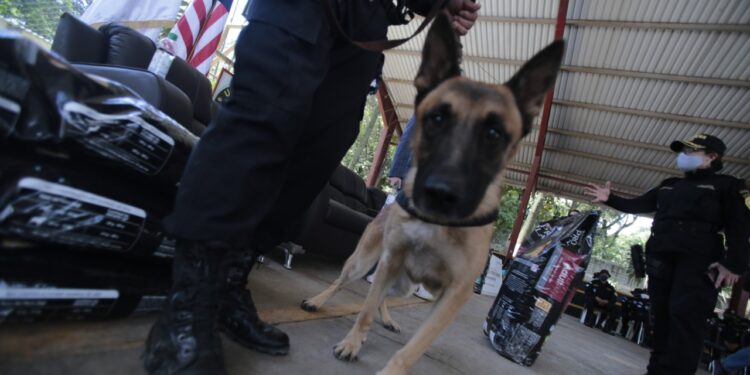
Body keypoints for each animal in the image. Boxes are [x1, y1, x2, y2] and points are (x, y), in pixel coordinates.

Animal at [300, 12, 564, 375]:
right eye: (436, 118)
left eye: (494, 134)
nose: (440, 193)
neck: (437, 226)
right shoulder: (390, 261)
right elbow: (364, 309)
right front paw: (353, 343)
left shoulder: (453, 296)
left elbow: (414, 345)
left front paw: (391, 367)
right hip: (366, 263)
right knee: (345, 282)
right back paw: (318, 301)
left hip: (405, 284)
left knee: (383, 297)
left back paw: (387, 318)